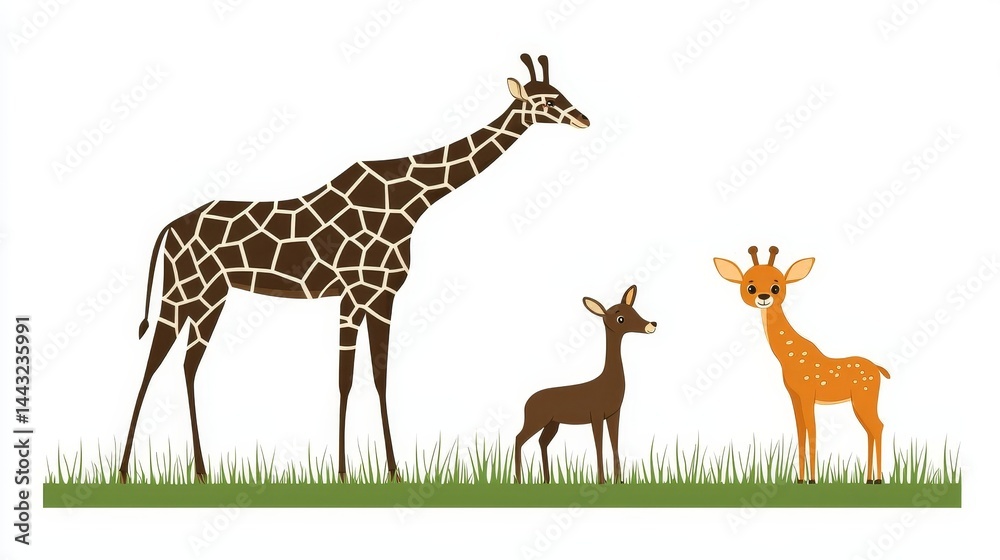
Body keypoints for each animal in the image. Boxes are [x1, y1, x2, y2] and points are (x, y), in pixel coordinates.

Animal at [118, 54, 590, 483]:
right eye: (546, 100)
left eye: (560, 92)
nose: (583, 119)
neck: (412, 199)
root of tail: (168, 229)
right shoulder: (354, 291)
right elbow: (346, 378)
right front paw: (346, 472)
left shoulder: (380, 295)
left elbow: (377, 377)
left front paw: (392, 471)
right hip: (186, 289)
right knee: (154, 362)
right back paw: (125, 471)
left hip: (211, 295)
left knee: (186, 365)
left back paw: (199, 471)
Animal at [714, 246, 890, 484]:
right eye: (750, 287)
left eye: (776, 286)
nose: (763, 297)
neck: (790, 357)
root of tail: (879, 369)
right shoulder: (794, 395)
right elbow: (800, 431)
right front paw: (799, 479)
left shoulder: (808, 393)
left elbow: (812, 430)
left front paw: (813, 480)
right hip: (860, 401)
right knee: (870, 429)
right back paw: (869, 479)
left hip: (864, 397)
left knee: (878, 426)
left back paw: (878, 479)